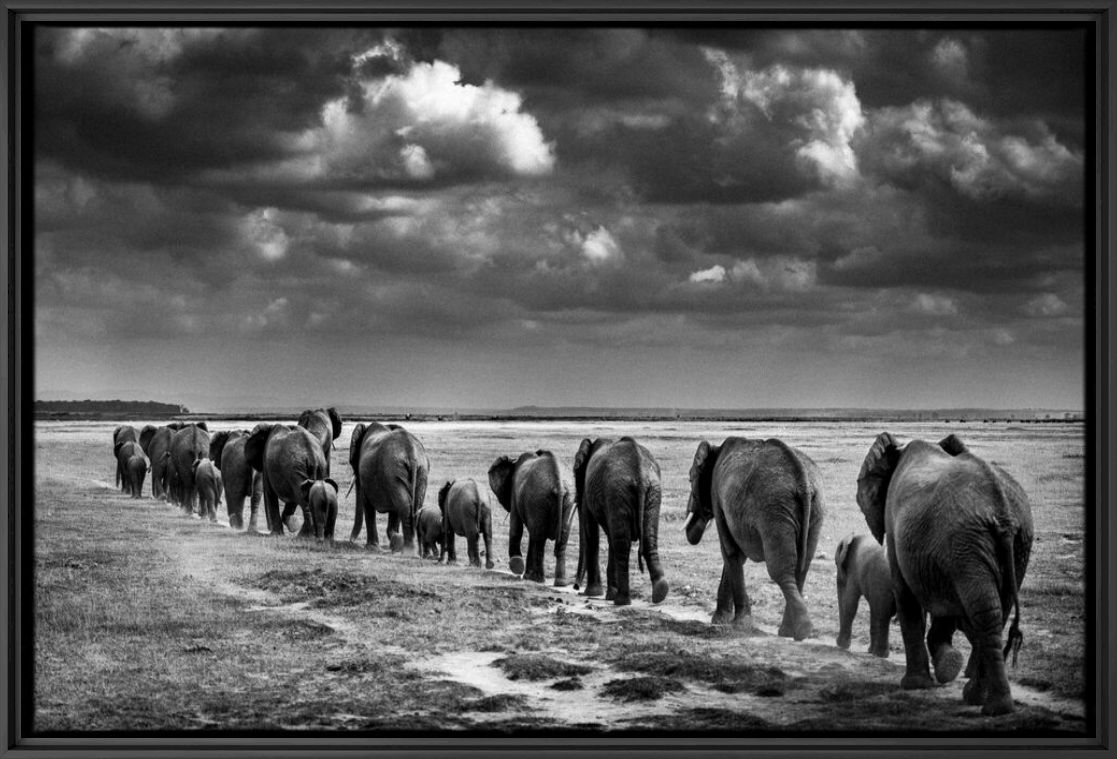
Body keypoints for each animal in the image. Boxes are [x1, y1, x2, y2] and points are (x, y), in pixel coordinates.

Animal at [348, 422, 426, 552]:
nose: (351, 541)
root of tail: (412, 455)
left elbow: (367, 503)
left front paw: (372, 547)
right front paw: (394, 539)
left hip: (393, 471)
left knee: (404, 506)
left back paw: (408, 549)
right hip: (420, 472)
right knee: (414, 506)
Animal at [489, 451, 576, 585]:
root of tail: (559, 485)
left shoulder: (515, 493)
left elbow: (516, 527)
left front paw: (517, 566)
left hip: (538, 498)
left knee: (539, 540)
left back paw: (537, 579)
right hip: (567, 500)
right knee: (558, 539)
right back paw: (559, 582)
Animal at [571, 440, 665, 603]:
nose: (576, 587)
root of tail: (639, 473)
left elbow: (591, 531)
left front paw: (594, 593)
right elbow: (609, 537)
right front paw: (607, 594)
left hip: (618, 492)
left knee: (622, 545)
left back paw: (621, 600)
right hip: (652, 492)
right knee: (648, 539)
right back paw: (660, 593)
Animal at [674, 433, 826, 639]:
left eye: (690, 479)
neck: (716, 449)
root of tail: (803, 482)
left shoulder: (717, 496)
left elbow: (730, 552)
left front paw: (737, 625)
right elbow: (736, 555)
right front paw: (721, 621)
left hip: (774, 511)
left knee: (780, 570)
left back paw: (800, 631)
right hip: (814, 511)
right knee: (802, 567)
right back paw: (789, 631)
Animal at [857, 433, 1032, 719]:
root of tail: (1003, 510)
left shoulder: (897, 527)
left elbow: (905, 594)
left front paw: (915, 685)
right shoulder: (938, 557)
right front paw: (947, 667)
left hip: (967, 543)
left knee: (983, 610)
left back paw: (988, 705)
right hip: (1010, 545)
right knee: (993, 611)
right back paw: (985, 702)